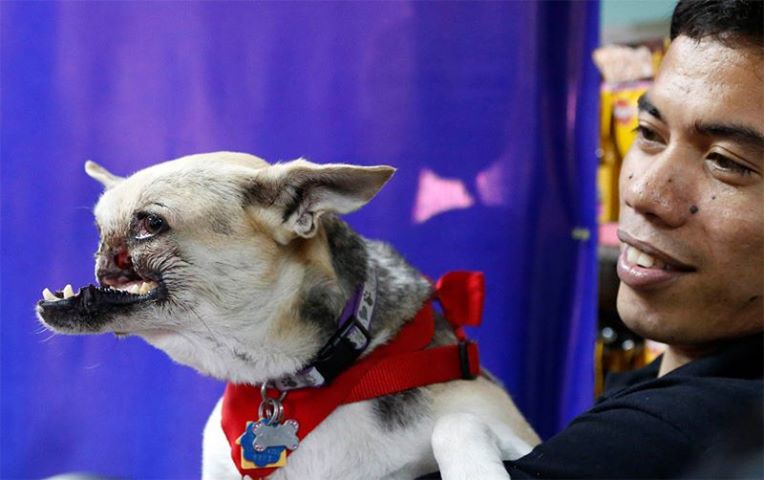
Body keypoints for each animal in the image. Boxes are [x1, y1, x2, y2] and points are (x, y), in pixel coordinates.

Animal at [35, 152, 536, 478]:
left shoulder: (519, 435)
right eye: (99, 224)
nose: (100, 248)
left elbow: (456, 425)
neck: (296, 382)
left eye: (150, 224)